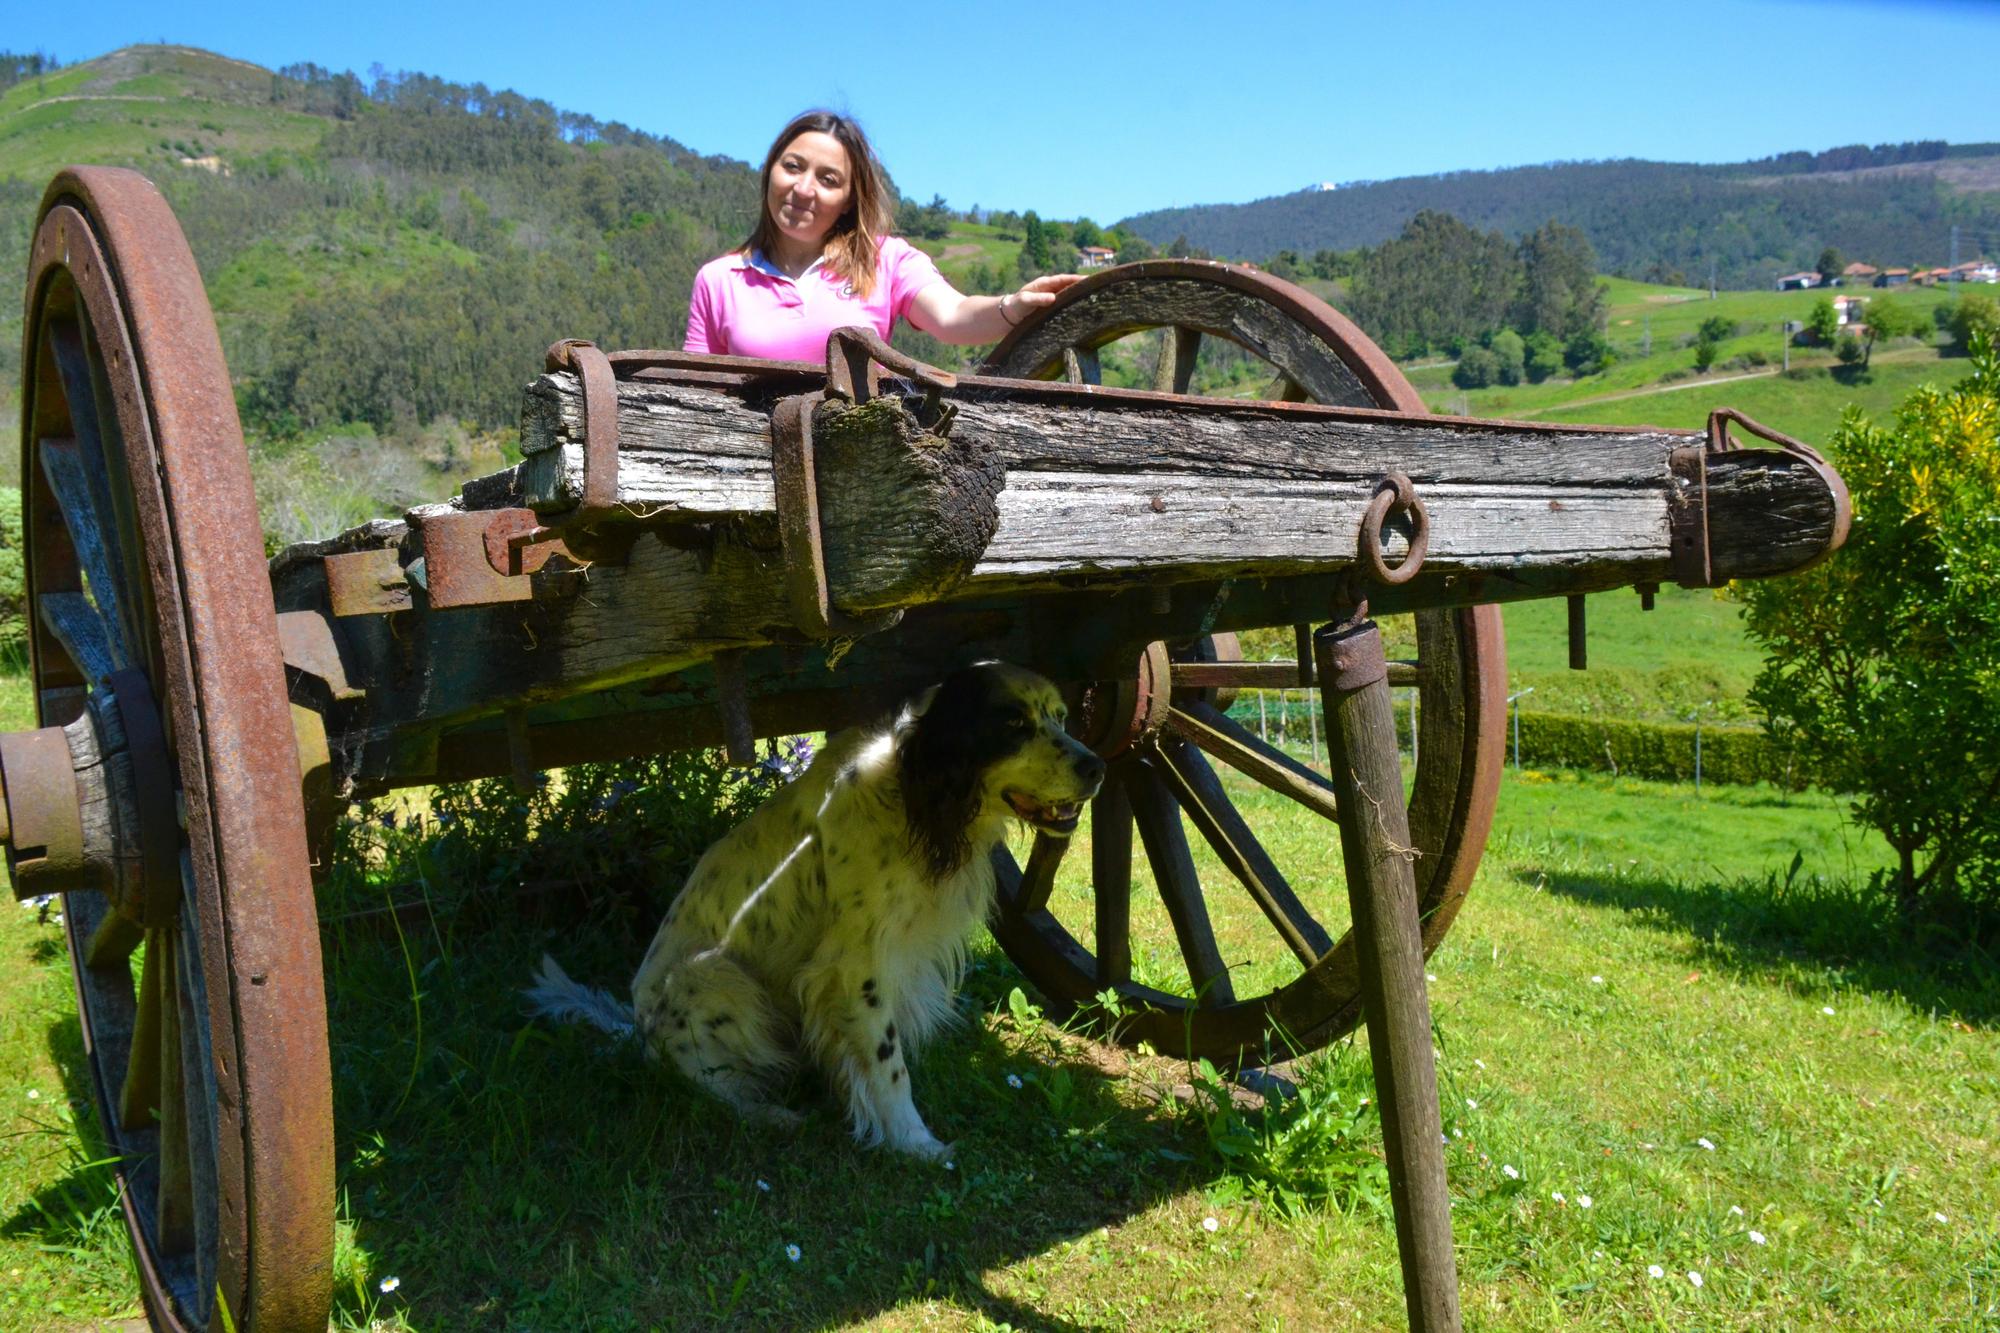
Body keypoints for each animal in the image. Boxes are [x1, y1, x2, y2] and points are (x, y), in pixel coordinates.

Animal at [524, 660, 1104, 1152]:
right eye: (1014, 723)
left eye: (1060, 717)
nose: (1097, 765)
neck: (912, 799)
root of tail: (639, 1027)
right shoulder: (855, 968)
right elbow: (888, 1062)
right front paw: (913, 1141)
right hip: (715, 977)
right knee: (704, 1082)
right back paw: (771, 1115)